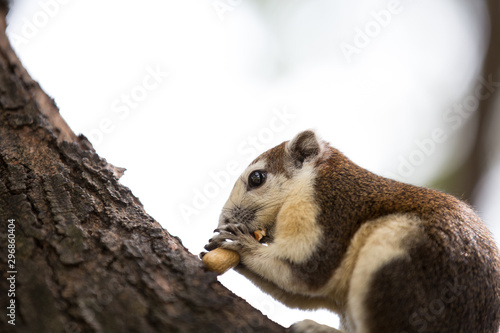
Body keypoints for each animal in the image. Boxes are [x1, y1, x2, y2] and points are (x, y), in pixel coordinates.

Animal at [202, 130, 500, 332]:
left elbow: (306, 271)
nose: (222, 220)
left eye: (257, 178)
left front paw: (240, 244)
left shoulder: (329, 208)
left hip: (396, 268)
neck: (309, 181)